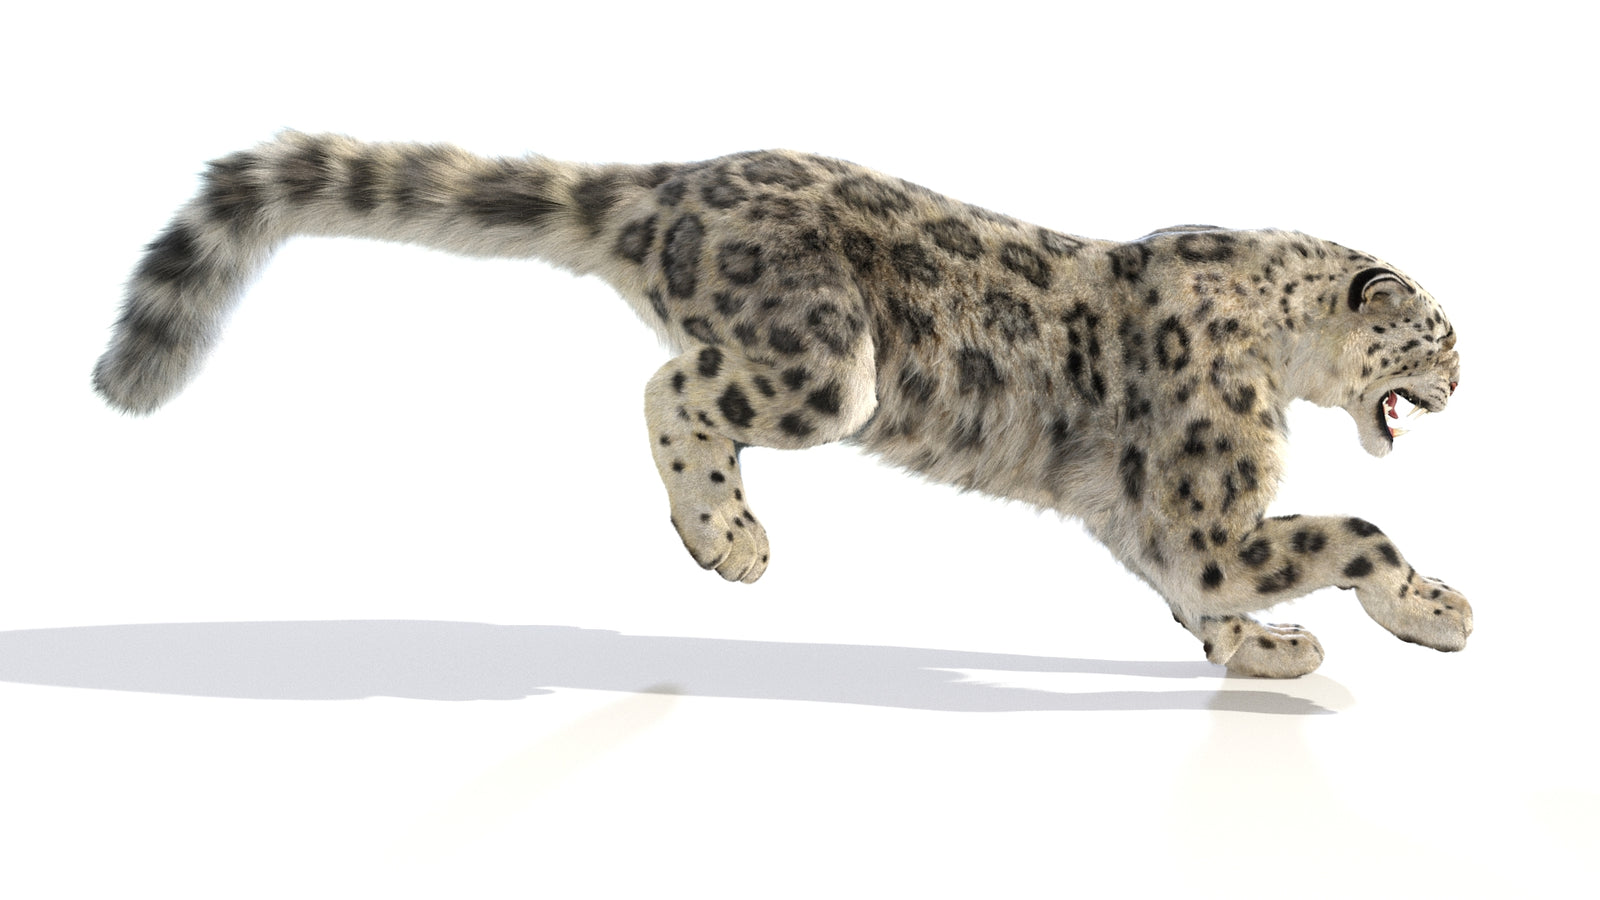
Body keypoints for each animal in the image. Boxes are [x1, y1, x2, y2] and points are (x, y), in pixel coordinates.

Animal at [93, 131, 1470, 678]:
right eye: (1442, 333)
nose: (1464, 384)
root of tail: (674, 182)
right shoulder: (1203, 505)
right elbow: (1351, 533)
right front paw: (1434, 610)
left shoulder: (1154, 525)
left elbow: (1204, 595)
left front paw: (1268, 650)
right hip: (822, 363)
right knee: (670, 384)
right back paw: (726, 537)